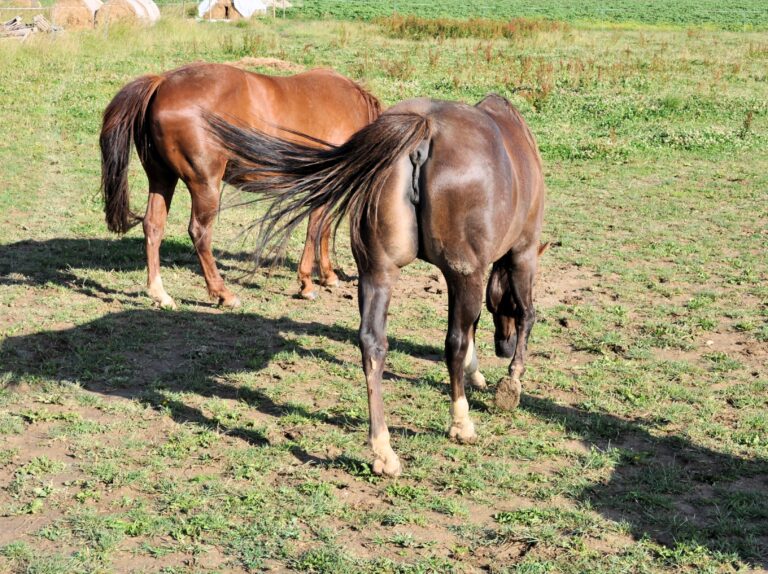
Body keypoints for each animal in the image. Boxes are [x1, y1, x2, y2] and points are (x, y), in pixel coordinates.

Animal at [99, 62, 381, 308]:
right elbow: (315, 229)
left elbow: (322, 228)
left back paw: (161, 294)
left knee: (153, 226)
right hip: (205, 185)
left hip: (162, 178)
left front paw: (327, 276)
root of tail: (162, 83)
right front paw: (307, 284)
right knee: (199, 233)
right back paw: (224, 294)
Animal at [207, 94, 546, 477]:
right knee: (453, 343)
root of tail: (423, 130)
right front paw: (511, 381)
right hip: (463, 270)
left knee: (373, 344)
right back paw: (460, 423)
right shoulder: (520, 254)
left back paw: (383, 450)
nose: (502, 347)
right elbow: (524, 315)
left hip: (378, 271)